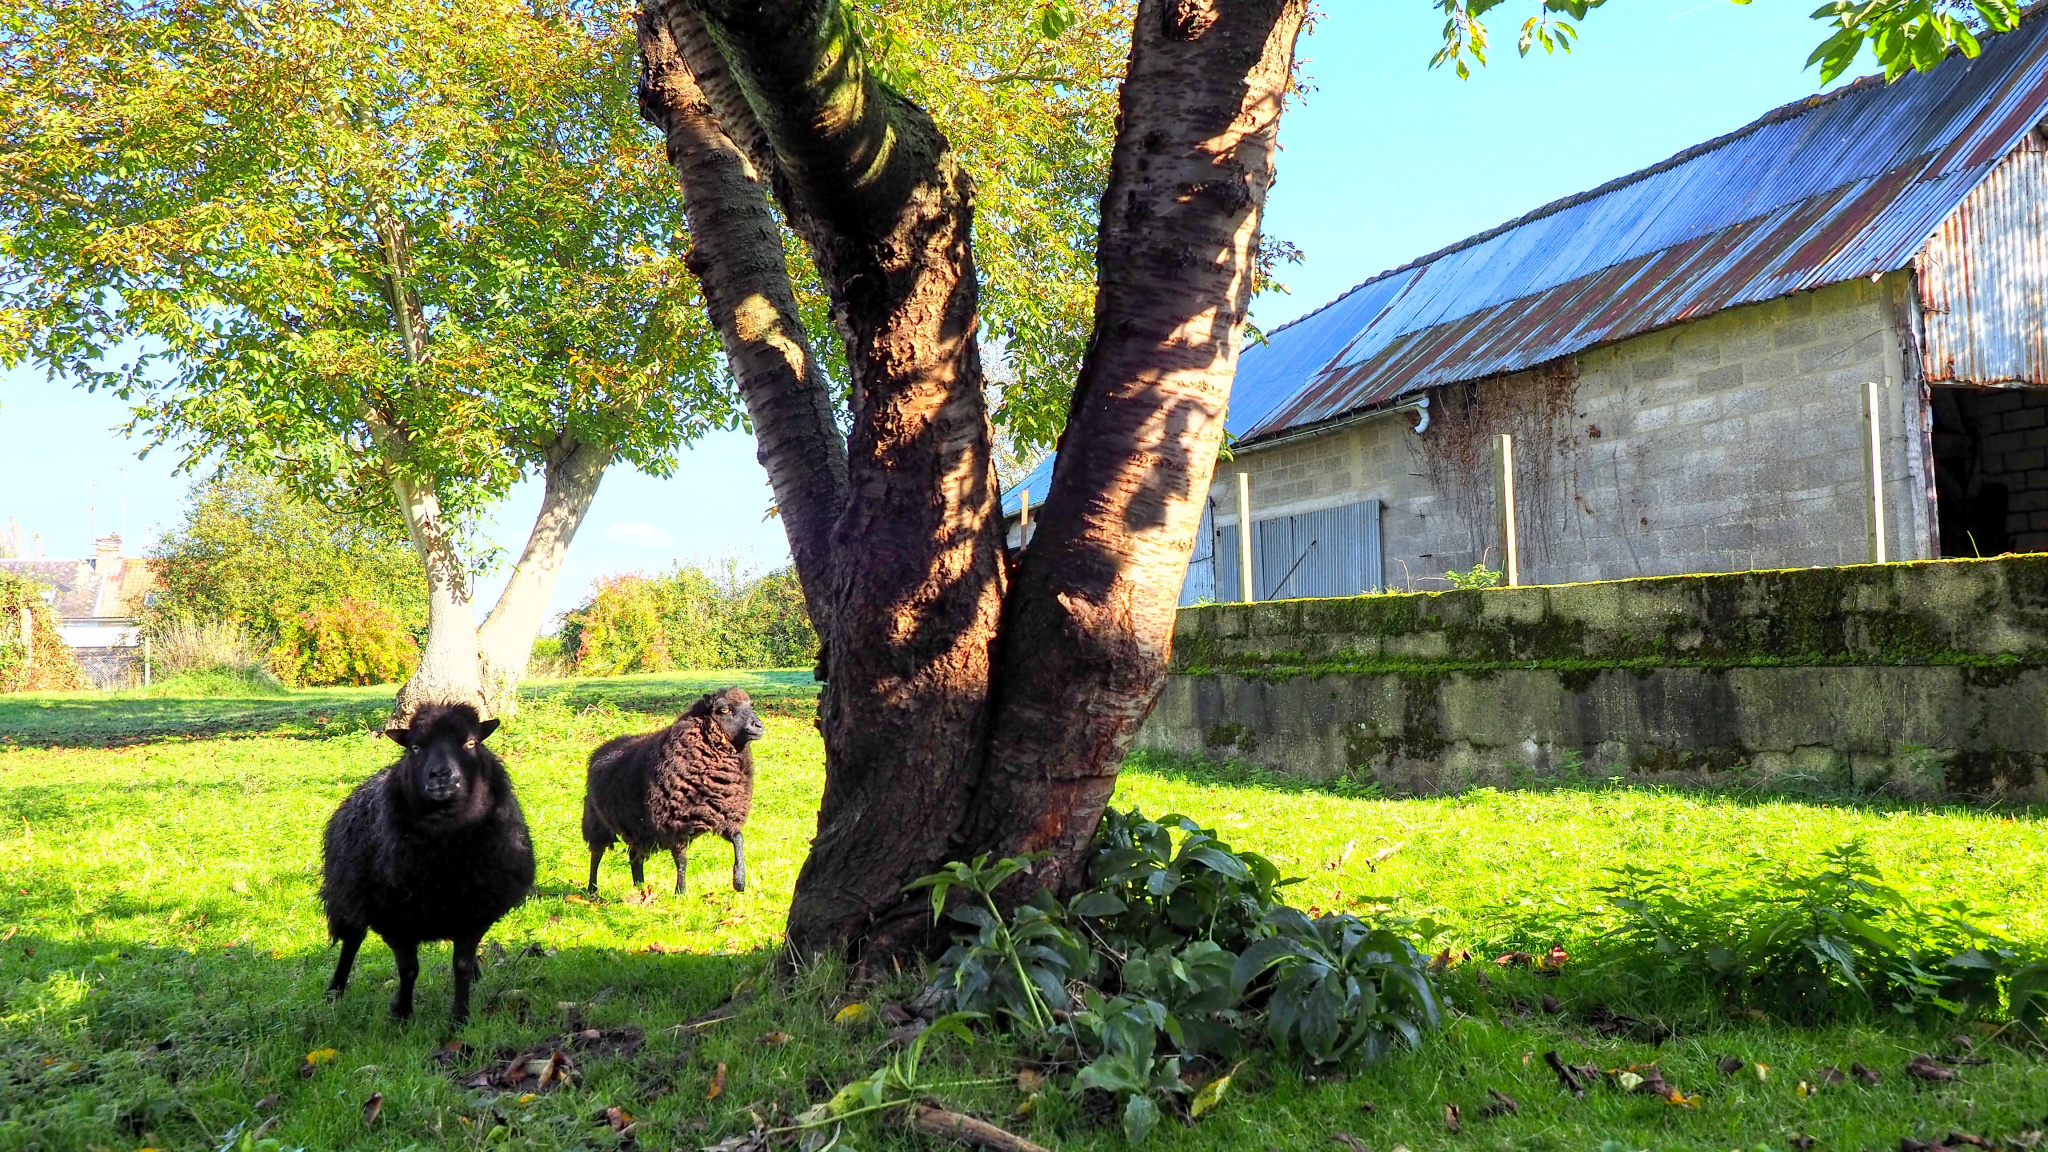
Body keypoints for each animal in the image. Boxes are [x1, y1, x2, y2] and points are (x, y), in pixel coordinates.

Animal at [315, 701, 532, 1020]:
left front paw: (460, 1017)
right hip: (348, 895)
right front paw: (402, 1013)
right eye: (415, 747)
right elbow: (408, 969)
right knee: (351, 941)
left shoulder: (474, 914)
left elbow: (460, 967)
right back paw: (334, 991)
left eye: (471, 743)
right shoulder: (393, 918)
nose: (441, 774)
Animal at [581, 684, 765, 893]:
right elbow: (682, 861)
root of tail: (602, 748)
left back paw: (640, 886)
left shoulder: (725, 814)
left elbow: (739, 840)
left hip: (640, 828)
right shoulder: (673, 823)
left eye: (751, 705)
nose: (759, 726)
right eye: (725, 709)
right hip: (597, 821)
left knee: (635, 856)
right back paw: (592, 888)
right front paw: (681, 892)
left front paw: (739, 881)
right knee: (596, 854)